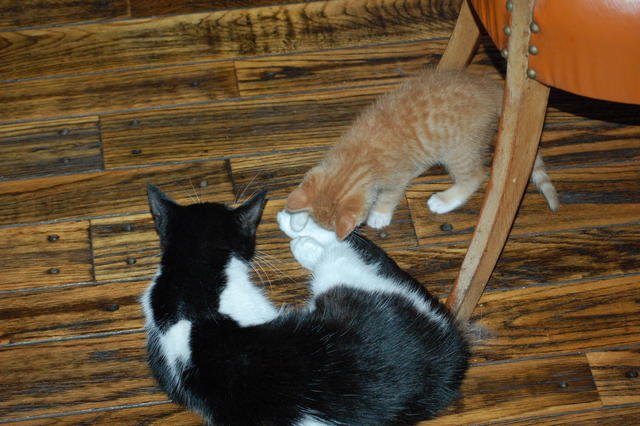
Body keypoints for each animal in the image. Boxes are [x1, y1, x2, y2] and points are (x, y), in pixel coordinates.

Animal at [285, 69, 559, 239]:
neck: (358, 156)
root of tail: (490, 86)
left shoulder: (394, 178)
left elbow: (389, 196)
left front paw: (380, 213)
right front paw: (298, 216)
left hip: (459, 149)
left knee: (475, 175)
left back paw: (446, 200)